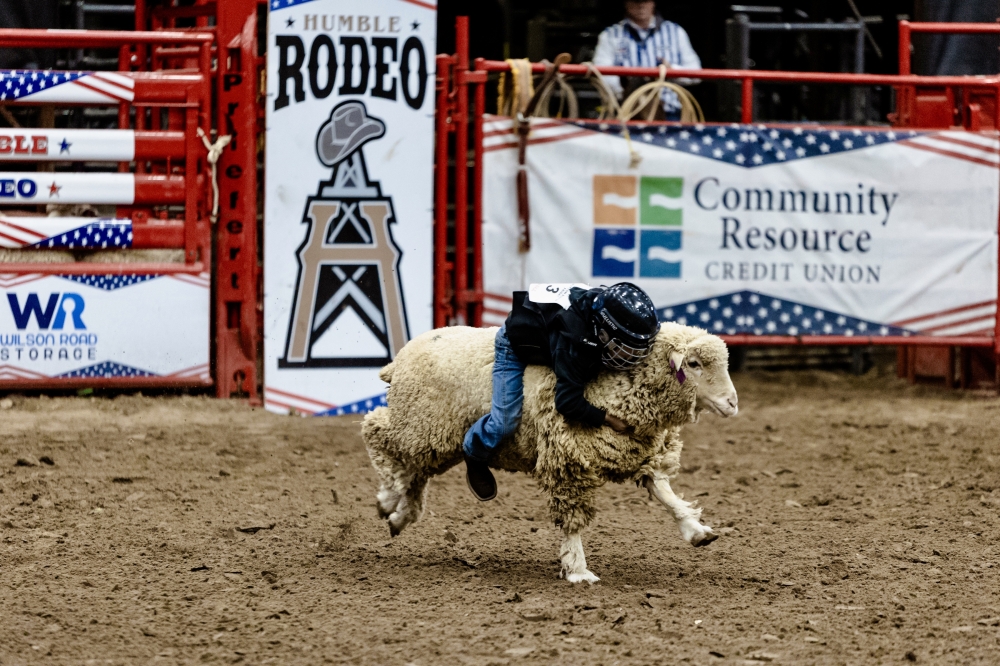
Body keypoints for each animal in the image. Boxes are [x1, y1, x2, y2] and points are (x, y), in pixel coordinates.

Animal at [362, 322, 738, 583]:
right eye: (694, 363)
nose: (733, 403)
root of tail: (400, 357)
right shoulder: (568, 459)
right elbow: (573, 520)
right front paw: (578, 569)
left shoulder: (637, 452)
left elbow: (665, 493)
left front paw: (697, 530)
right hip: (418, 424)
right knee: (376, 433)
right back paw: (387, 497)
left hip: (434, 438)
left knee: (414, 470)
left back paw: (399, 514)